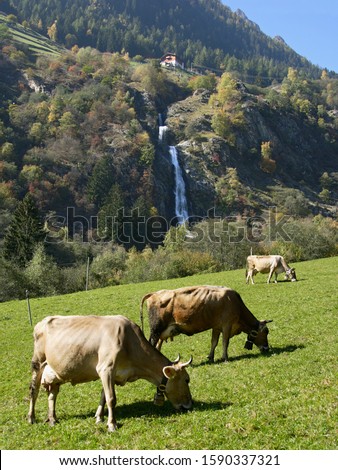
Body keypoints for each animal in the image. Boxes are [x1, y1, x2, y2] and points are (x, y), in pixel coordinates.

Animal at [27, 314, 193, 432]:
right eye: (187, 379)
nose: (189, 405)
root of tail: (41, 322)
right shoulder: (105, 368)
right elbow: (111, 398)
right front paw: (112, 424)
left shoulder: (111, 373)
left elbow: (103, 396)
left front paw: (99, 418)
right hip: (37, 363)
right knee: (34, 390)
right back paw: (31, 418)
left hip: (55, 373)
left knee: (52, 395)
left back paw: (52, 419)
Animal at [139, 284, 272, 362]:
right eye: (266, 332)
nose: (266, 348)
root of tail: (155, 294)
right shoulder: (227, 325)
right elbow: (225, 342)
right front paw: (225, 358)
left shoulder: (216, 327)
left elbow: (214, 342)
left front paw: (211, 357)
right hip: (156, 330)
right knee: (152, 344)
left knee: (157, 346)